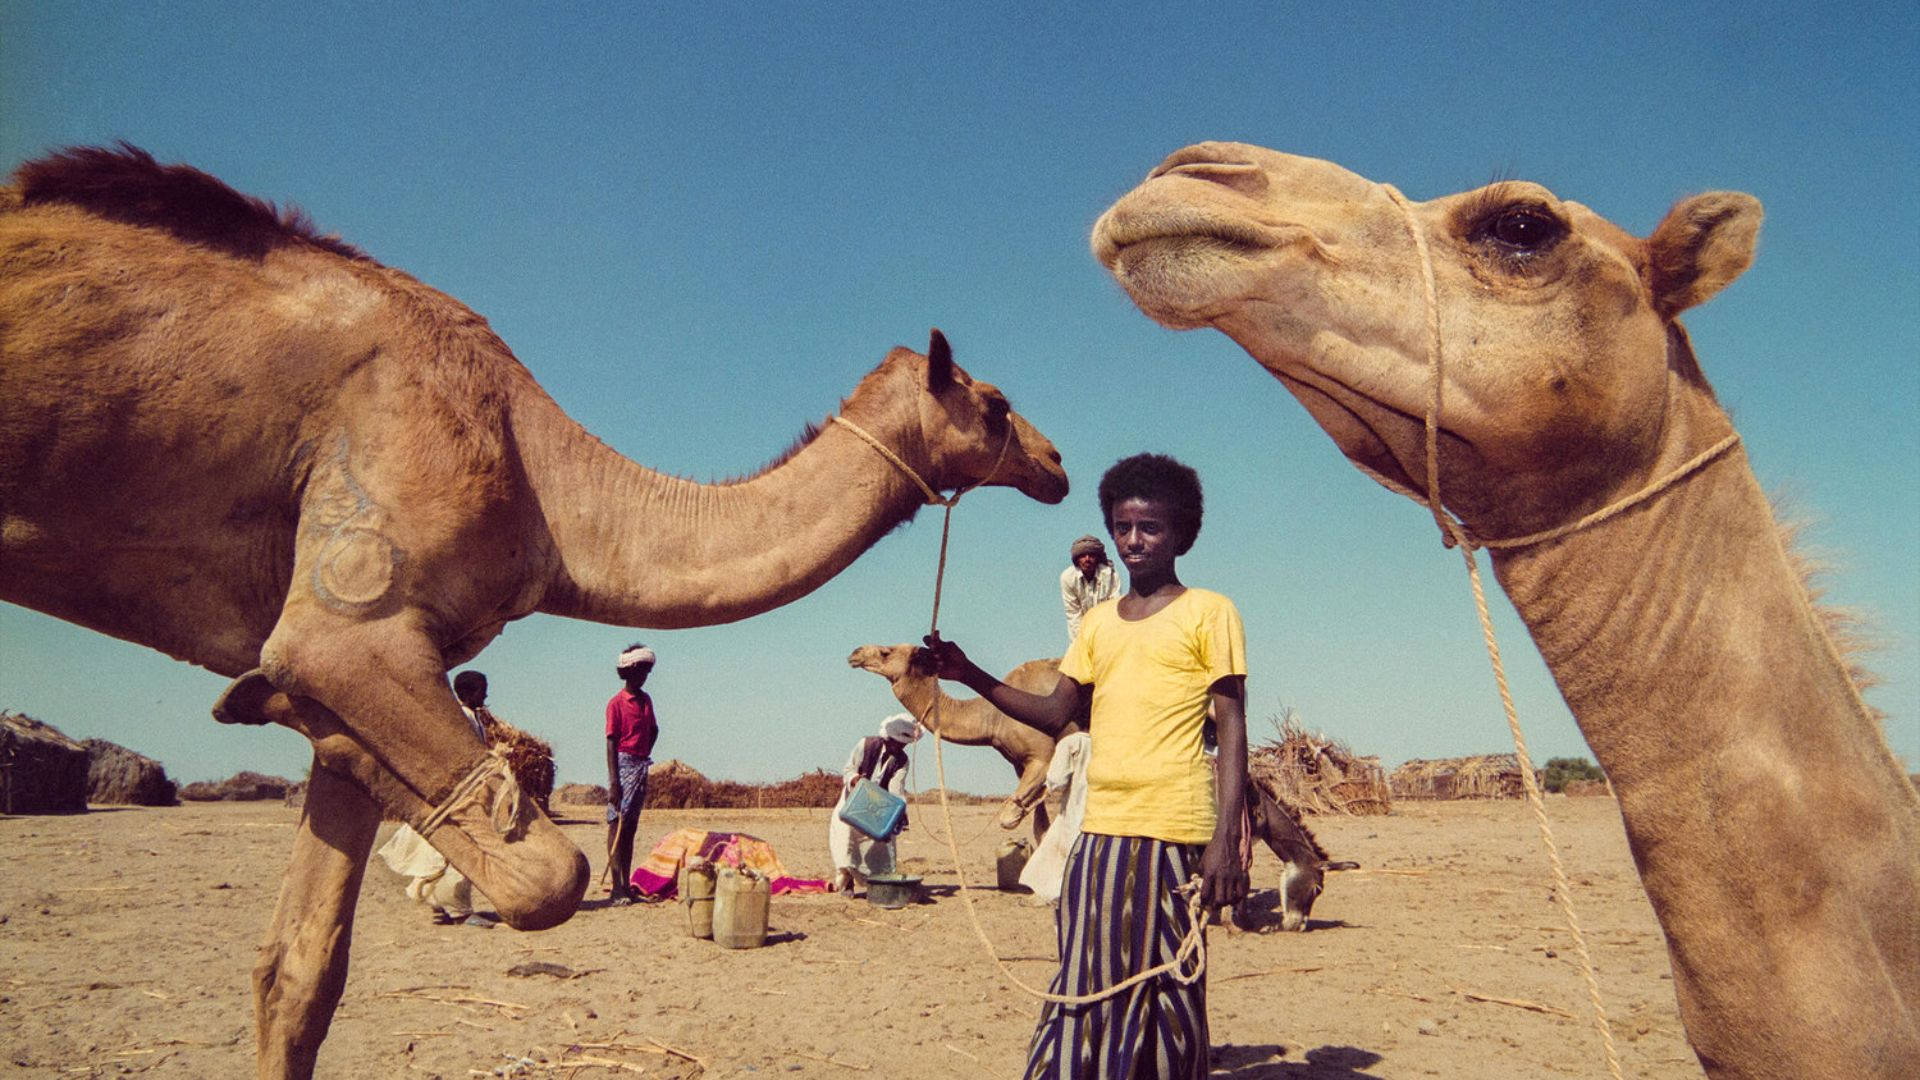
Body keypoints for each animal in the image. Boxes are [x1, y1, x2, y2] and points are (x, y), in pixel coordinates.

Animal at [847, 643, 1080, 840]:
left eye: (886, 652)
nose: (855, 653)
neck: (994, 718)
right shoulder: (1020, 764)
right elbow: (1040, 829)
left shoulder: (1042, 757)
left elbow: (1009, 819)